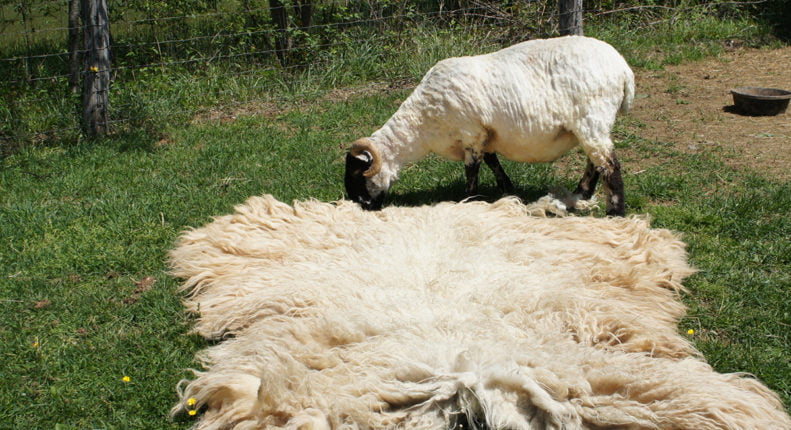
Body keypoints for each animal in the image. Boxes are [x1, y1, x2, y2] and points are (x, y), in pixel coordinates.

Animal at [344, 34, 636, 215]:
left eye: (358, 176)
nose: (363, 208)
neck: (421, 123)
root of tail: (623, 69)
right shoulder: (484, 135)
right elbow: (492, 161)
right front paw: (507, 188)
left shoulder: (470, 133)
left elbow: (472, 171)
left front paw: (469, 200)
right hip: (593, 125)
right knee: (595, 162)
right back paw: (581, 194)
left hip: (592, 116)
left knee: (610, 166)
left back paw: (614, 212)